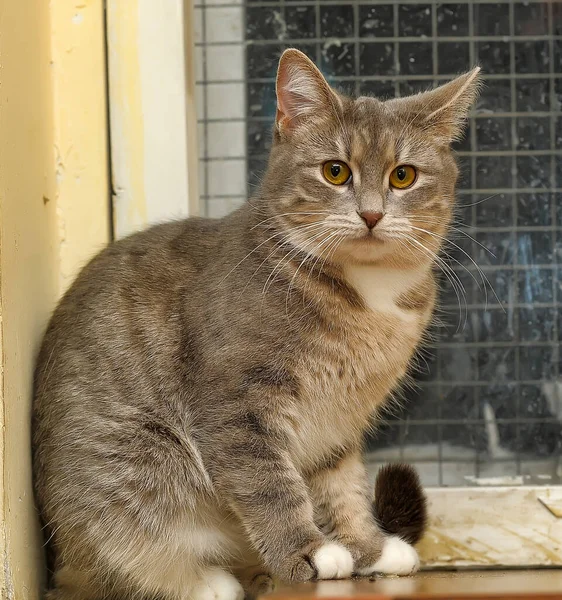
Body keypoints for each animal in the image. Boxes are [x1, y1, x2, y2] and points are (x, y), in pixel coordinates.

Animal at [31, 48, 476, 600]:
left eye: (403, 176)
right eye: (335, 172)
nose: (371, 215)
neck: (367, 294)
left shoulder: (338, 425)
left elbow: (343, 487)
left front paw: (368, 548)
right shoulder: (236, 405)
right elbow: (270, 484)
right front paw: (311, 552)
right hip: (135, 469)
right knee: (117, 564)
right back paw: (204, 581)